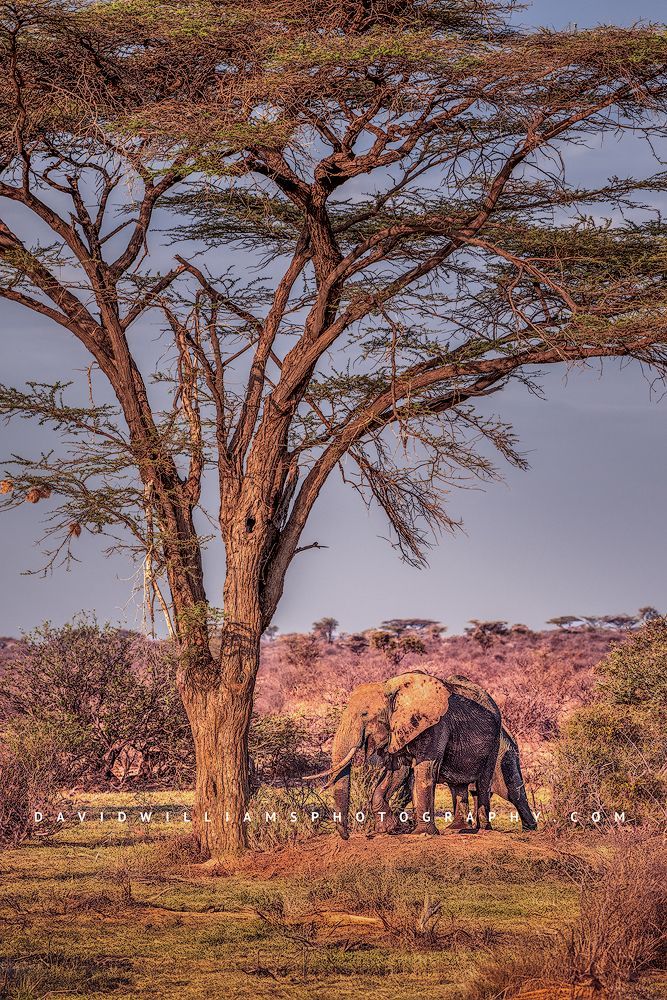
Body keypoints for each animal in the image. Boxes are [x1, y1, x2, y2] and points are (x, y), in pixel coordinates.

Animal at [315, 670, 502, 839]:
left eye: (364, 714)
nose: (346, 836)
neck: (390, 688)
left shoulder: (436, 725)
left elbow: (425, 771)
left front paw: (422, 833)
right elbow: (397, 772)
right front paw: (389, 829)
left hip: (496, 740)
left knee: (483, 783)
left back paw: (483, 829)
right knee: (458, 784)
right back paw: (456, 829)